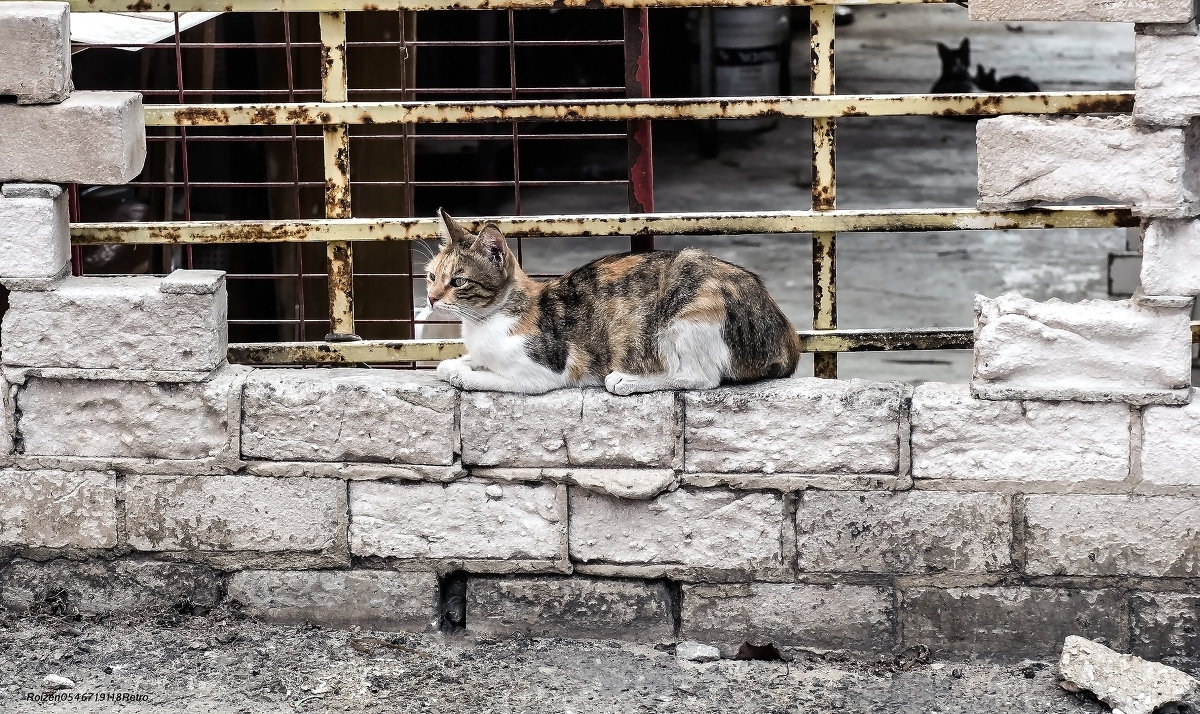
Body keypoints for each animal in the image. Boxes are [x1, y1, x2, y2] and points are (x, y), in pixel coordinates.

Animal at [427, 206, 801, 396]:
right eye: (431, 277)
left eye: (458, 281)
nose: (430, 299)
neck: (483, 323)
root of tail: (787, 336)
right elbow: (455, 363)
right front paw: (456, 364)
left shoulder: (542, 372)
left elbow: (494, 378)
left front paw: (464, 375)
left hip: (691, 304)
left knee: (700, 377)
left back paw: (627, 380)